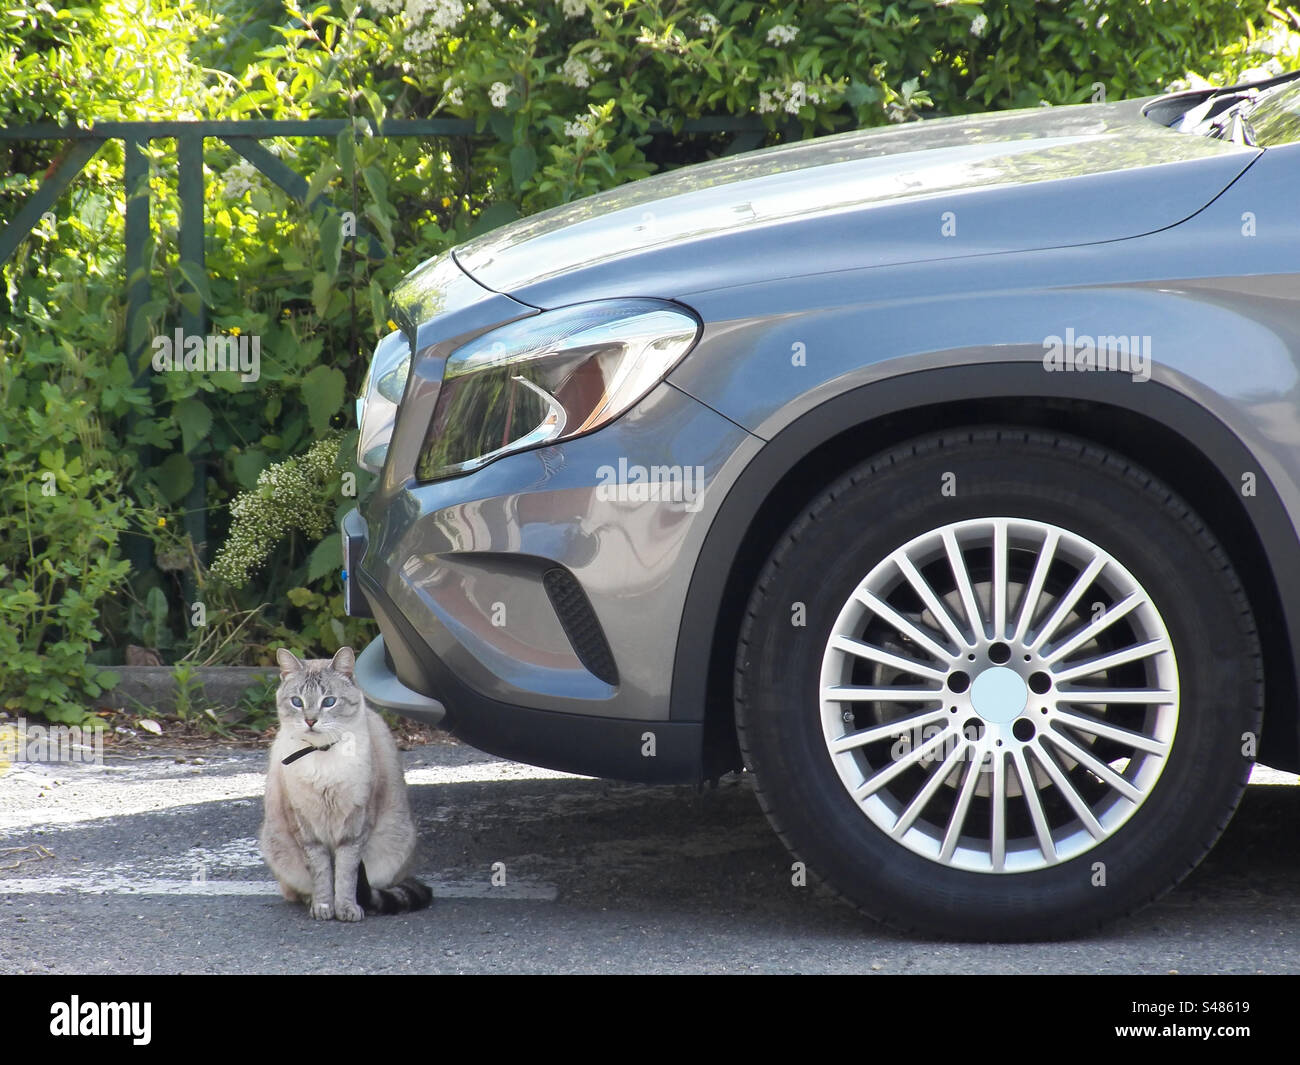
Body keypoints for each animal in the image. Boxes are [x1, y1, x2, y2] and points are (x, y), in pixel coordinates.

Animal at [257, 644, 431, 920]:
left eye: (329, 702)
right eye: (297, 702)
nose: (310, 720)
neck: (322, 755)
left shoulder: (355, 825)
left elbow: (346, 874)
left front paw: (347, 909)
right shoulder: (306, 828)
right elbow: (322, 873)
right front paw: (323, 907)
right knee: (294, 891)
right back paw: (310, 900)